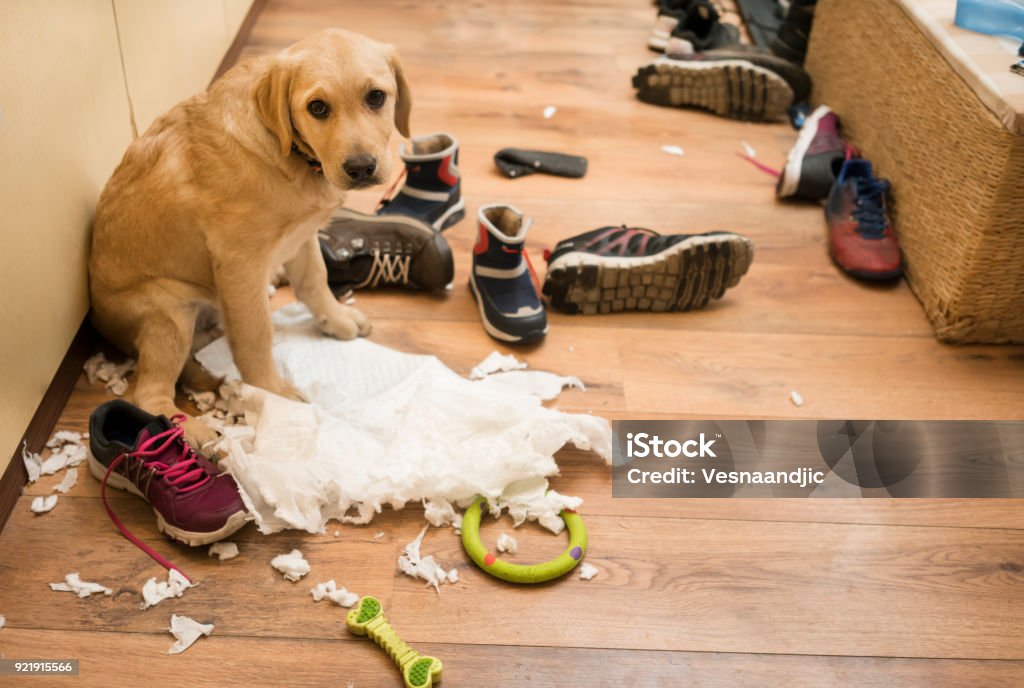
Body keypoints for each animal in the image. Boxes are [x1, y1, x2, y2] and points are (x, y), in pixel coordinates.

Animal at [88, 28, 407, 446]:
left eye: (376, 97)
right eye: (318, 108)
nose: (360, 168)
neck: (288, 155)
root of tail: (102, 324)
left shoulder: (302, 235)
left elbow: (315, 281)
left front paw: (335, 318)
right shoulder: (239, 263)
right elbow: (255, 334)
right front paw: (271, 391)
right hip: (168, 313)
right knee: (148, 391)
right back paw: (191, 430)